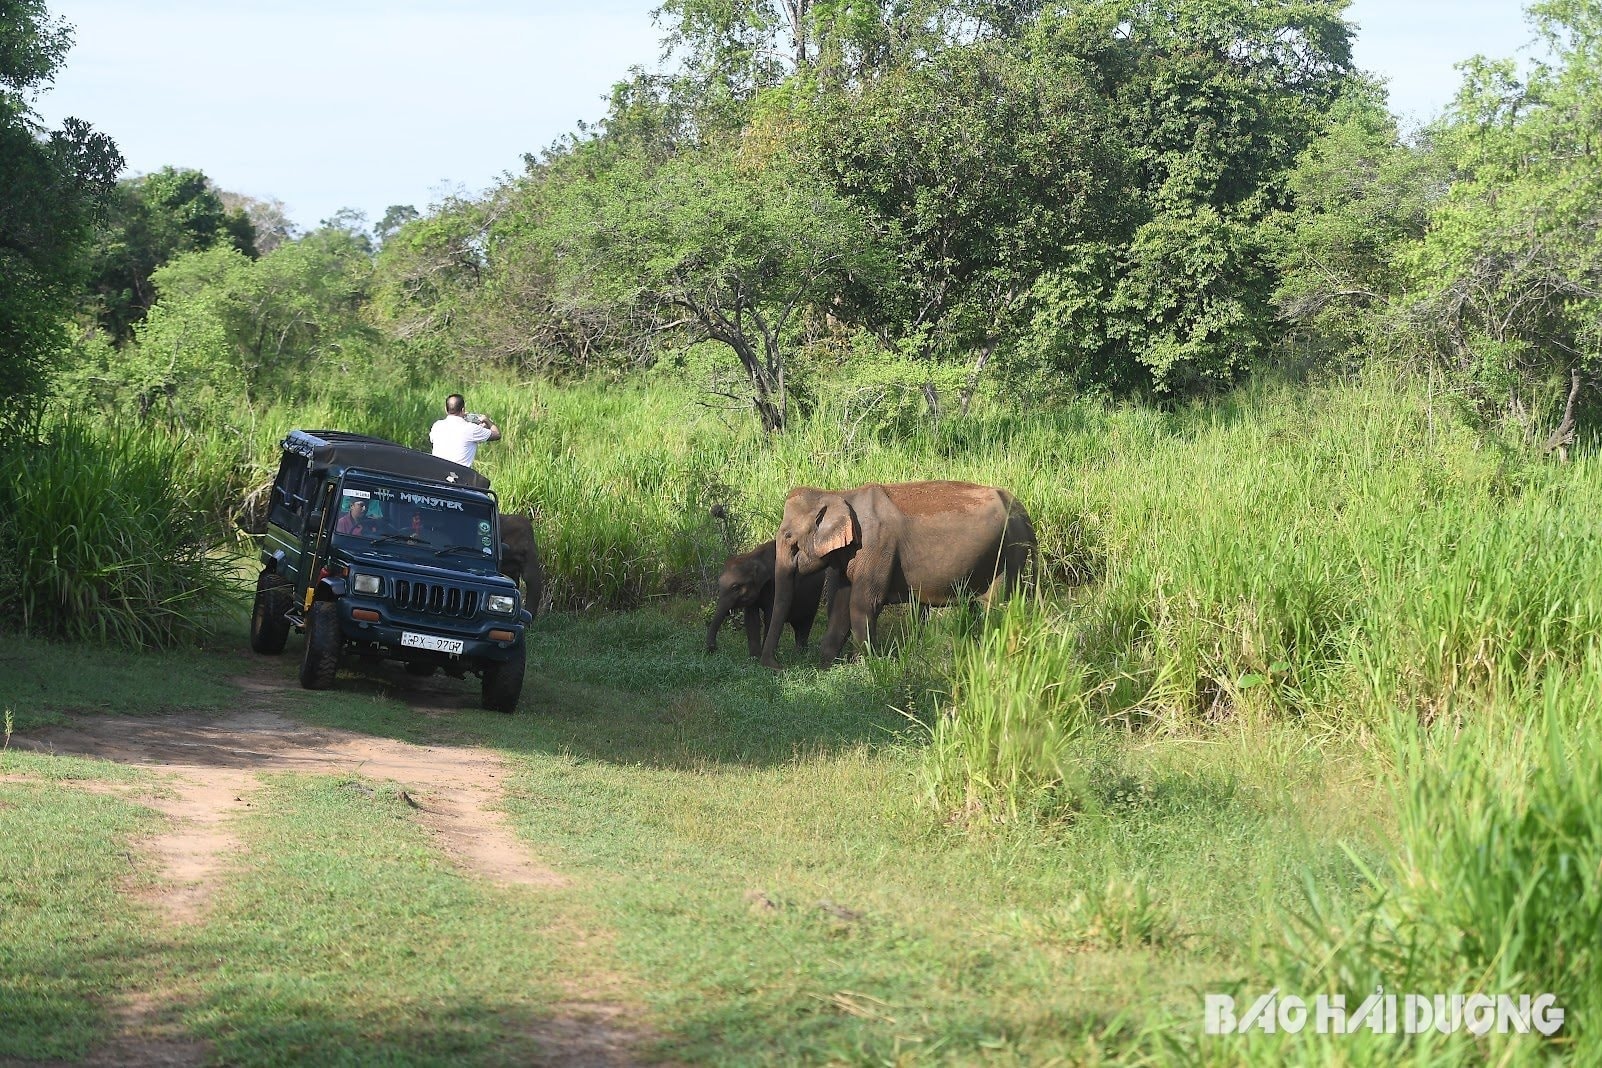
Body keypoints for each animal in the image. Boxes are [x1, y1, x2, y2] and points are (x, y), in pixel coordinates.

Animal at [762, 483, 1038, 669]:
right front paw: (827, 665)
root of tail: (1021, 508)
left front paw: (864, 665)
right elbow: (839, 607)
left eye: (789, 538)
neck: (840, 494)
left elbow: (863, 604)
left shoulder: (876, 546)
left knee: (996, 606)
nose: (776, 666)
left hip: (1009, 553)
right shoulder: (847, 558)